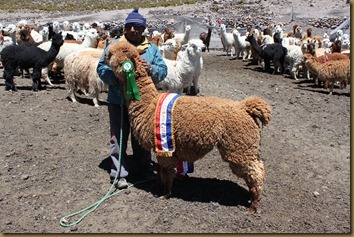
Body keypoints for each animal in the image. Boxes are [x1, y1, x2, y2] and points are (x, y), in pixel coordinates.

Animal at [103, 40, 272, 213]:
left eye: (114, 53)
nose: (104, 56)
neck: (149, 104)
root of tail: (244, 107)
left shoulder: (166, 147)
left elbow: (167, 172)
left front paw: (166, 194)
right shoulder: (162, 147)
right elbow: (162, 171)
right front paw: (159, 186)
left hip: (239, 146)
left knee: (255, 171)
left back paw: (253, 205)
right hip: (245, 146)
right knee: (258, 167)